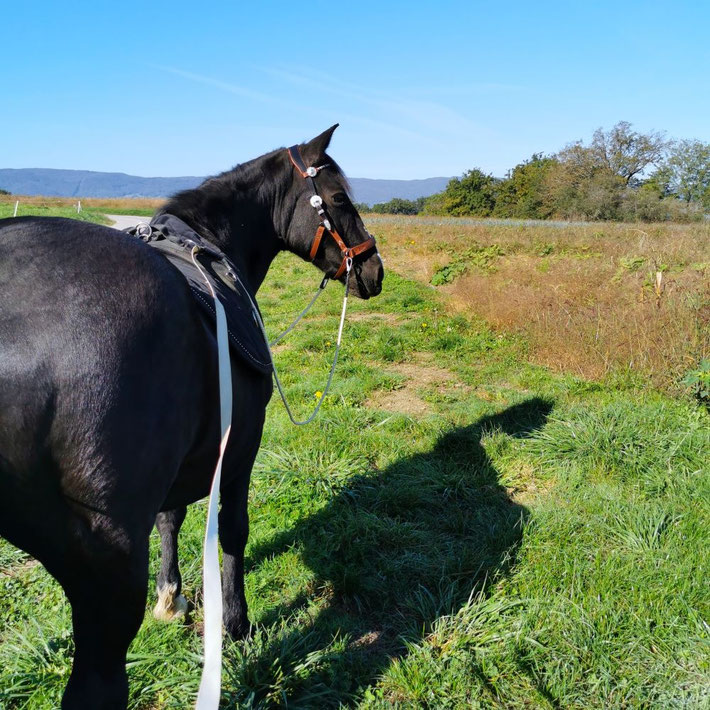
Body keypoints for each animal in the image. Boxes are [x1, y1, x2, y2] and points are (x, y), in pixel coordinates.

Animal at [0, 124, 384, 708]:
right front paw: (236, 624)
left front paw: (172, 596)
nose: (374, 270)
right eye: (339, 199)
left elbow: (171, 518)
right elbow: (233, 532)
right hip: (108, 575)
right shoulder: (241, 446)